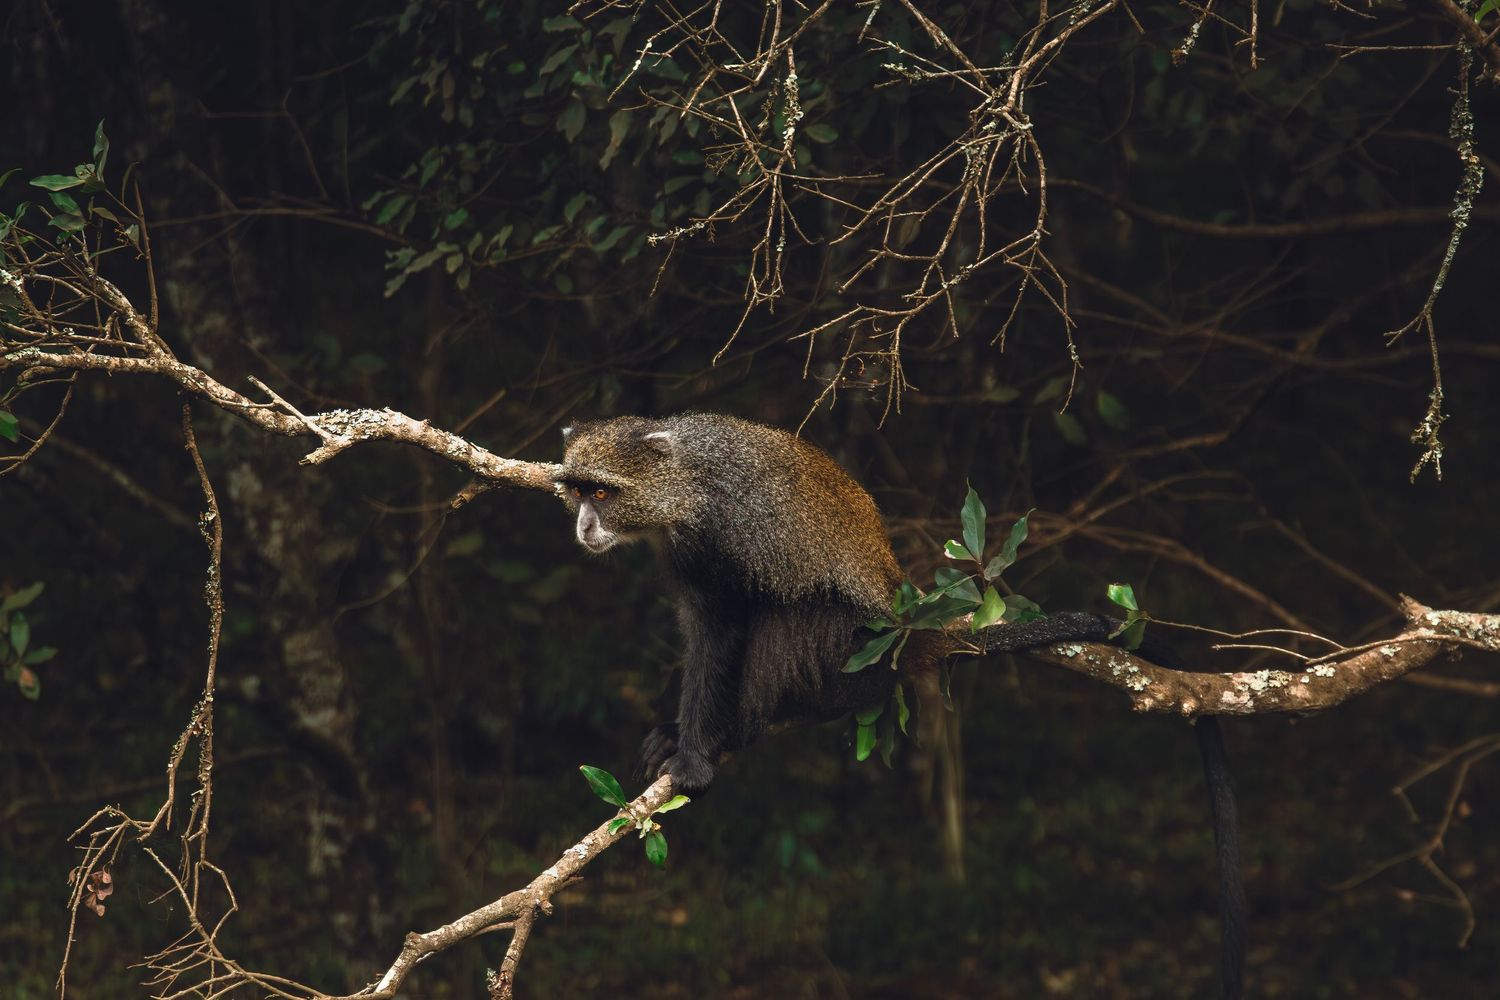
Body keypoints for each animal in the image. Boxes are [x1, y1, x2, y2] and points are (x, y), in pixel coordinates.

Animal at [555, 412, 1245, 1000]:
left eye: (605, 495)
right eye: (579, 491)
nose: (584, 528)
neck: (686, 482)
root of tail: (905, 628)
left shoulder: (725, 535)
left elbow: (730, 625)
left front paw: (696, 756)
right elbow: (706, 630)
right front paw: (681, 734)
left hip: (849, 652)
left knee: (790, 616)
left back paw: (745, 726)